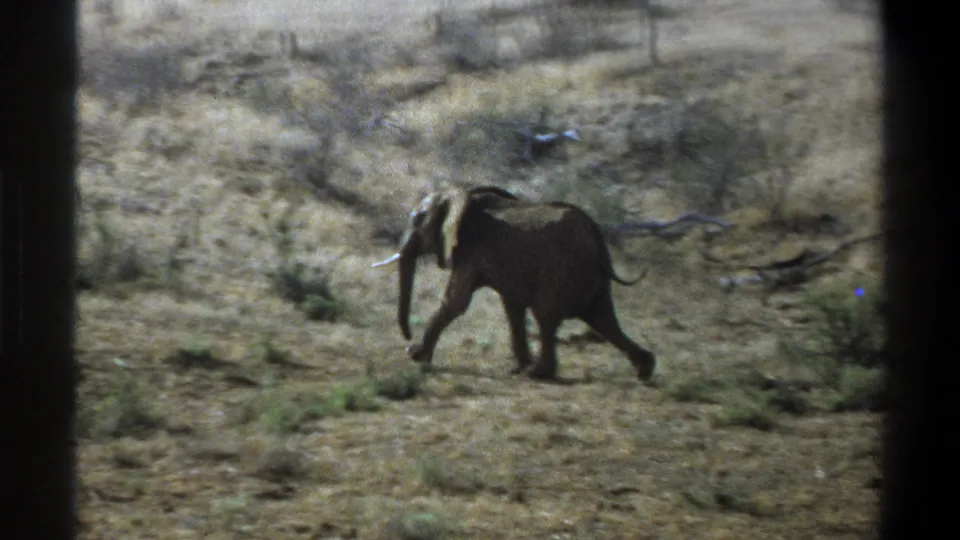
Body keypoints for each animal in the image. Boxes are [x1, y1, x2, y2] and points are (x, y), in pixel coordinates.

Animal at [371, 185, 657, 382]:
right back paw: (645, 370)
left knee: (547, 315)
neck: (459, 194)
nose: (407, 338)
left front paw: (415, 356)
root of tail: (598, 237)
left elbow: (456, 302)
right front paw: (516, 368)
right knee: (603, 319)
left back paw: (538, 373)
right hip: (589, 276)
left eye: (417, 219)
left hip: (561, 268)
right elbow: (512, 307)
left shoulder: (469, 251)